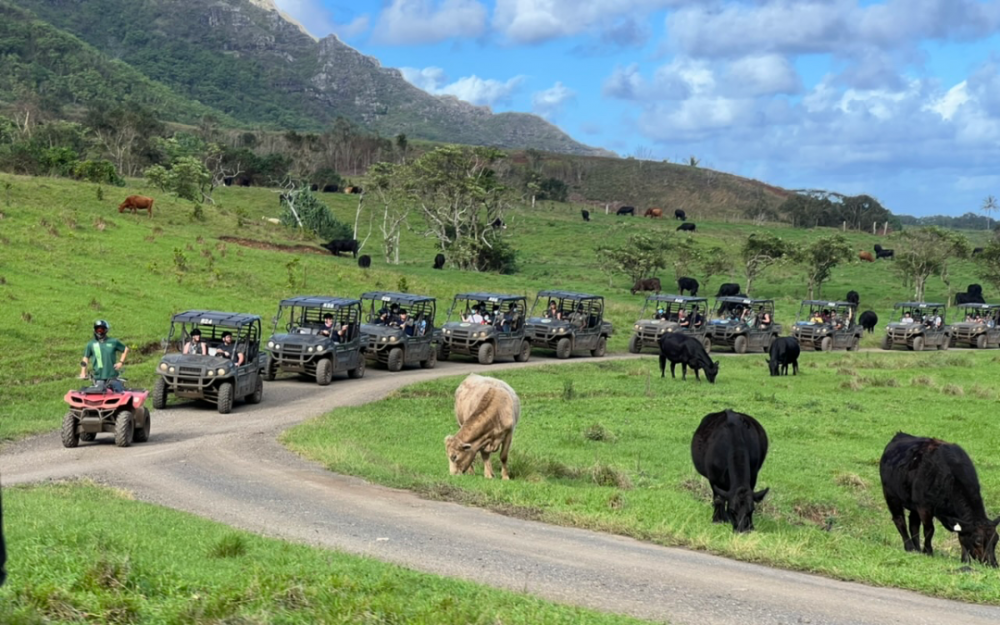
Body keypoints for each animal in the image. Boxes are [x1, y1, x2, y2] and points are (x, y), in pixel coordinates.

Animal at [880, 434, 996, 564]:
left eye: (996, 540)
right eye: (978, 541)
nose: (992, 563)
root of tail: (900, 435)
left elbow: (961, 536)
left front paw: (965, 559)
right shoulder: (924, 507)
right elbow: (929, 530)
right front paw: (928, 551)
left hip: (914, 504)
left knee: (913, 524)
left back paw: (917, 549)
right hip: (891, 495)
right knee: (899, 520)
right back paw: (909, 547)